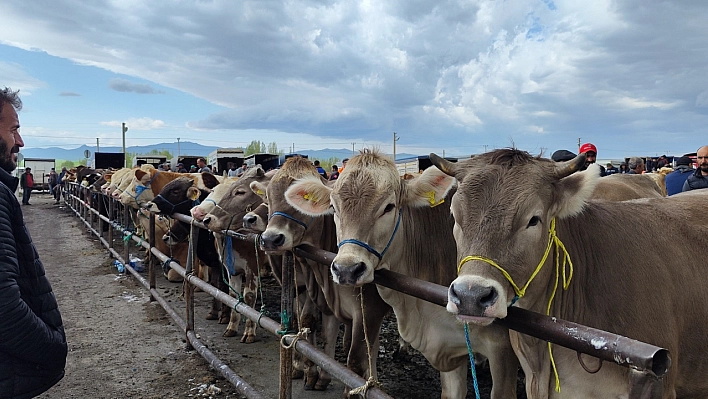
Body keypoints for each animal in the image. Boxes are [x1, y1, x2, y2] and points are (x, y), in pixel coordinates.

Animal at [253, 156, 392, 394]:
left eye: (298, 201)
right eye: (269, 197)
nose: (271, 239)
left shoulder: (368, 306)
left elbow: (357, 350)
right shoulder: (318, 294)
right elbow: (310, 323)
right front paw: (310, 371)